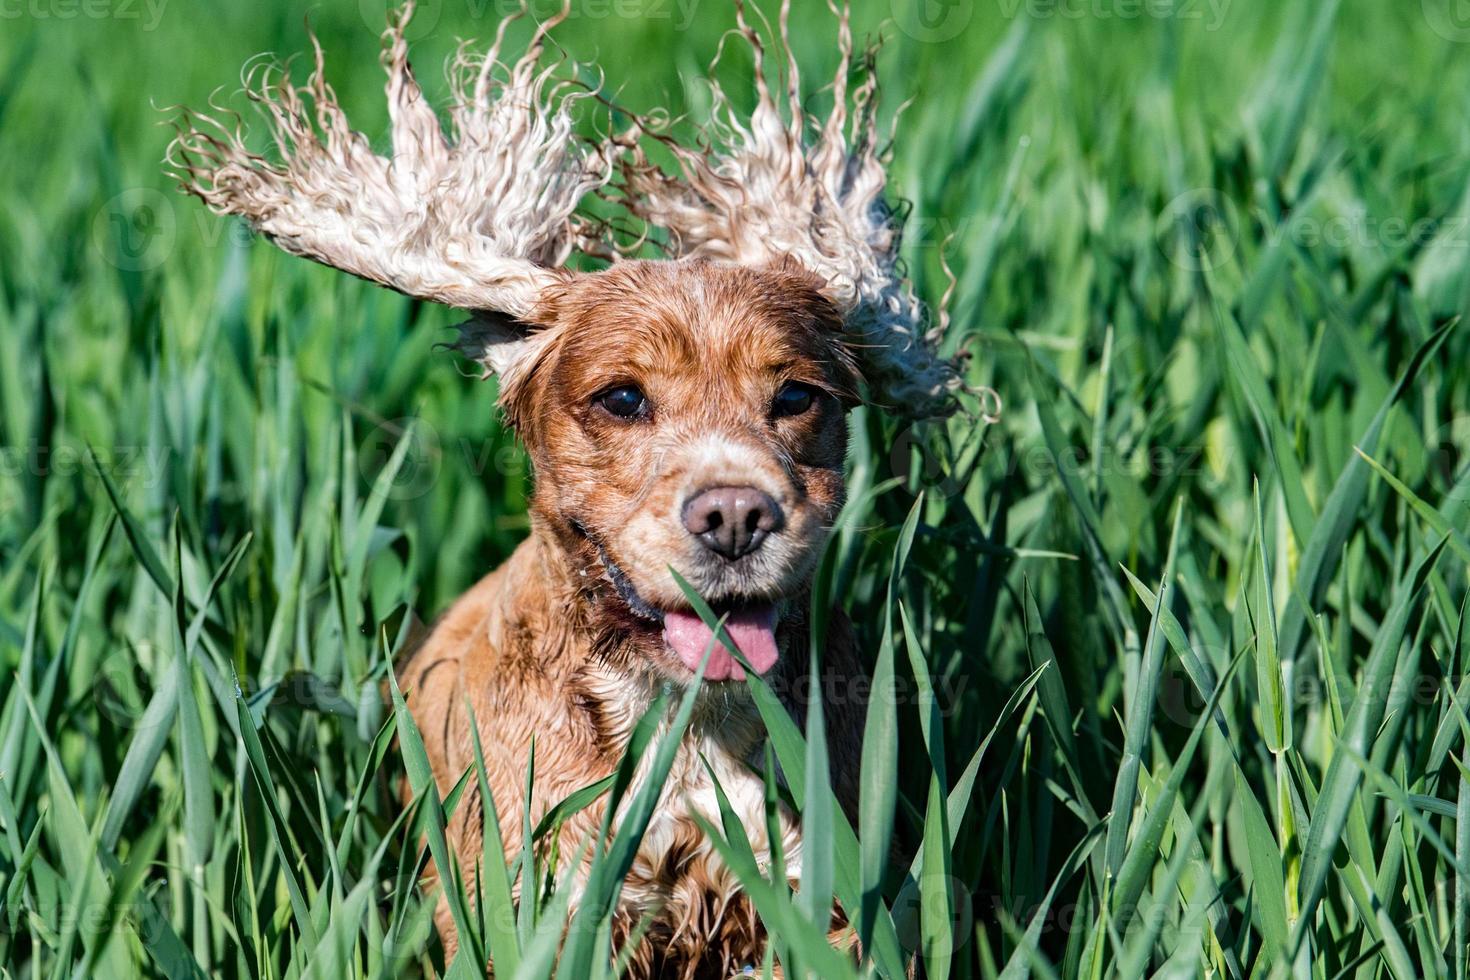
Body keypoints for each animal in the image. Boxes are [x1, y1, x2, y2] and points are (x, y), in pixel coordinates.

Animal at [166, 1, 958, 975]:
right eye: (622, 398)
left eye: (797, 397)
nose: (735, 515)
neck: (684, 731)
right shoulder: (531, 903)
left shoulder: (829, 905)